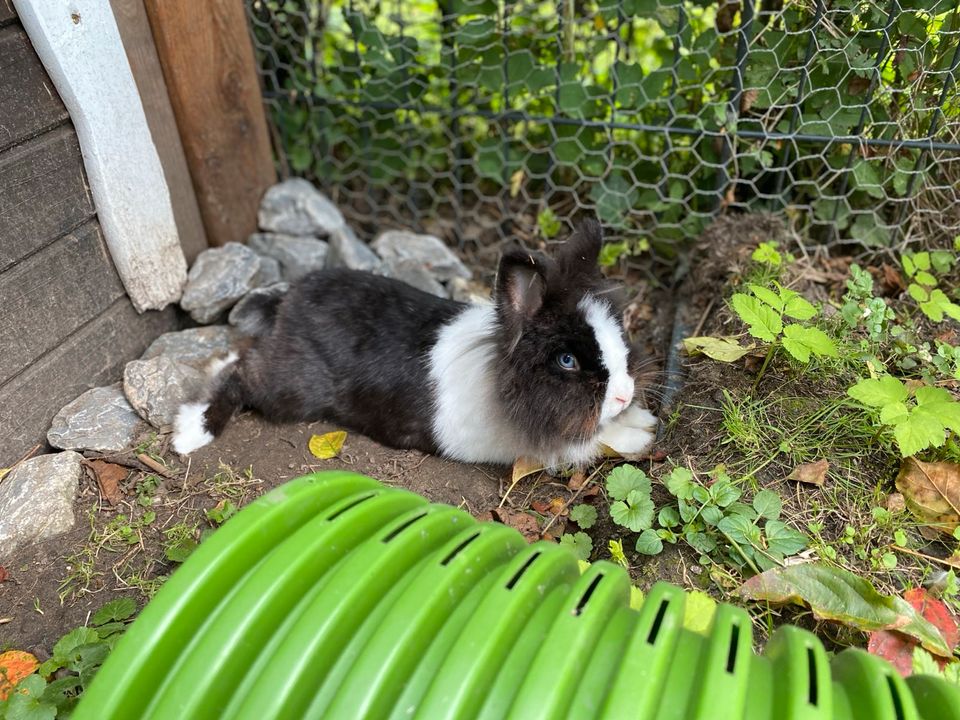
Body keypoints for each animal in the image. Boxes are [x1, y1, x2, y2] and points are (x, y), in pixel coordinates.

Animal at [172, 219, 656, 466]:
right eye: (567, 360)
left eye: (619, 334)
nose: (623, 393)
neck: (499, 368)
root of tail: (288, 299)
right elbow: (591, 442)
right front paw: (640, 436)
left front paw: (641, 419)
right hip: (291, 391)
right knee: (240, 375)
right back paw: (191, 431)